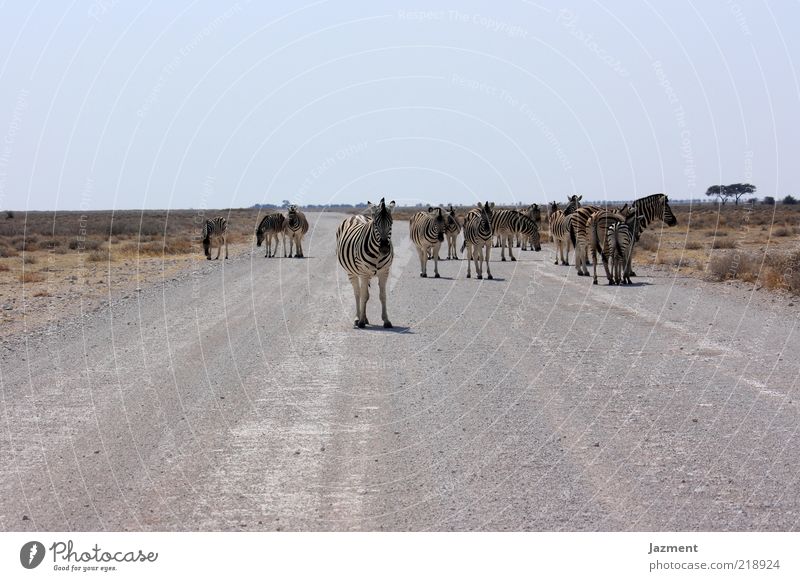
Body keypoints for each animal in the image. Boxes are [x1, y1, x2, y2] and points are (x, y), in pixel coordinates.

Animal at [332, 198, 396, 326]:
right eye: (375, 224)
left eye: (391, 224)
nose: (384, 249)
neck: (377, 255)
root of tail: (357, 215)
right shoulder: (363, 273)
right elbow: (363, 295)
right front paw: (361, 321)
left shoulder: (384, 273)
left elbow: (382, 296)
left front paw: (386, 320)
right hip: (352, 272)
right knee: (358, 294)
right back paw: (358, 318)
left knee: (364, 294)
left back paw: (364, 318)